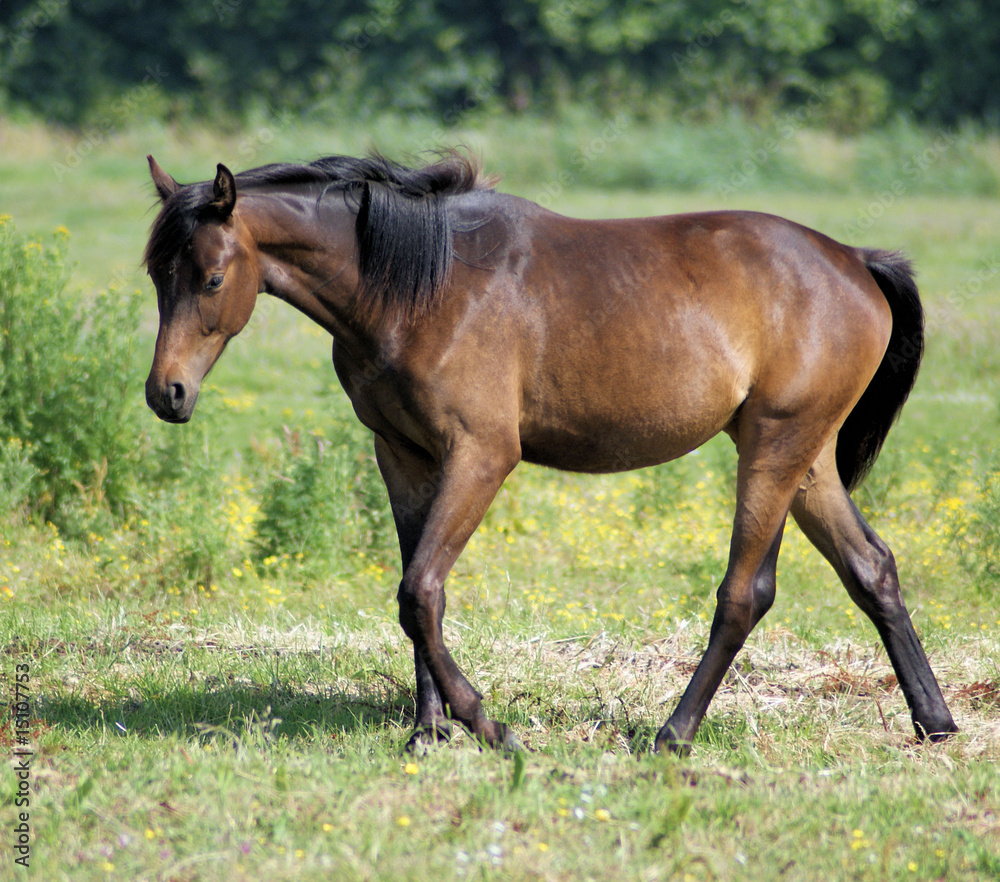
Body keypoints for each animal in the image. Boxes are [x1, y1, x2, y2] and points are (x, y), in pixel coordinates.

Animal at [145, 148, 956, 752]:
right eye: (157, 273)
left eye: (211, 276)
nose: (166, 394)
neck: (420, 285)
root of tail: (853, 259)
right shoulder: (401, 455)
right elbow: (417, 592)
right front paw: (427, 730)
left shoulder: (480, 455)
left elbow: (420, 590)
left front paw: (486, 724)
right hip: (806, 458)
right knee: (871, 569)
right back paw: (936, 720)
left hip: (773, 448)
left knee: (744, 593)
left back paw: (672, 733)